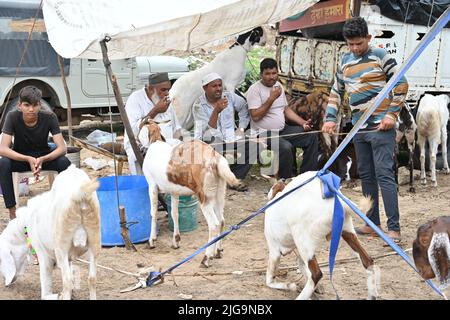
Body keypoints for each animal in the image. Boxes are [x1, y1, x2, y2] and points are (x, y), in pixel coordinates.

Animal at [0, 165, 100, 300]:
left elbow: (46, 290)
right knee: (92, 279)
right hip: (94, 241)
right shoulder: (68, 257)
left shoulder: (43, 255)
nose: (5, 281)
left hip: (61, 246)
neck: (25, 224)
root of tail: (80, 194)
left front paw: (57, 295)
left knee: (67, 281)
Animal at [139, 119, 241, 266]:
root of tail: (214, 158)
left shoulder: (152, 186)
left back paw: (206, 257)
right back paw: (218, 252)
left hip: (205, 198)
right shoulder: (174, 192)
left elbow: (153, 213)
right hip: (219, 194)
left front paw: (151, 241)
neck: (156, 142)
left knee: (214, 225)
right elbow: (175, 214)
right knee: (221, 221)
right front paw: (176, 241)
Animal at [266, 172, 378, 300]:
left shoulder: (274, 251)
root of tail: (339, 203)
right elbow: (302, 266)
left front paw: (291, 286)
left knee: (316, 274)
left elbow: (269, 280)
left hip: (303, 241)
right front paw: (316, 289)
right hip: (347, 231)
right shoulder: (298, 252)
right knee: (368, 261)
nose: (283, 179)